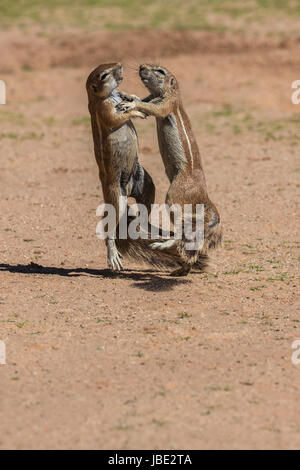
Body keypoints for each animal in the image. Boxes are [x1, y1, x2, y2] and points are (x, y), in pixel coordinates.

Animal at [117, 62, 220, 276]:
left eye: (160, 71)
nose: (141, 66)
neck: (169, 92)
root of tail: (204, 196)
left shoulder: (166, 104)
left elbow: (148, 108)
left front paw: (130, 105)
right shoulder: (152, 97)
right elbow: (141, 100)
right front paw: (126, 95)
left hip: (174, 197)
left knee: (182, 231)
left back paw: (163, 245)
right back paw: (181, 269)